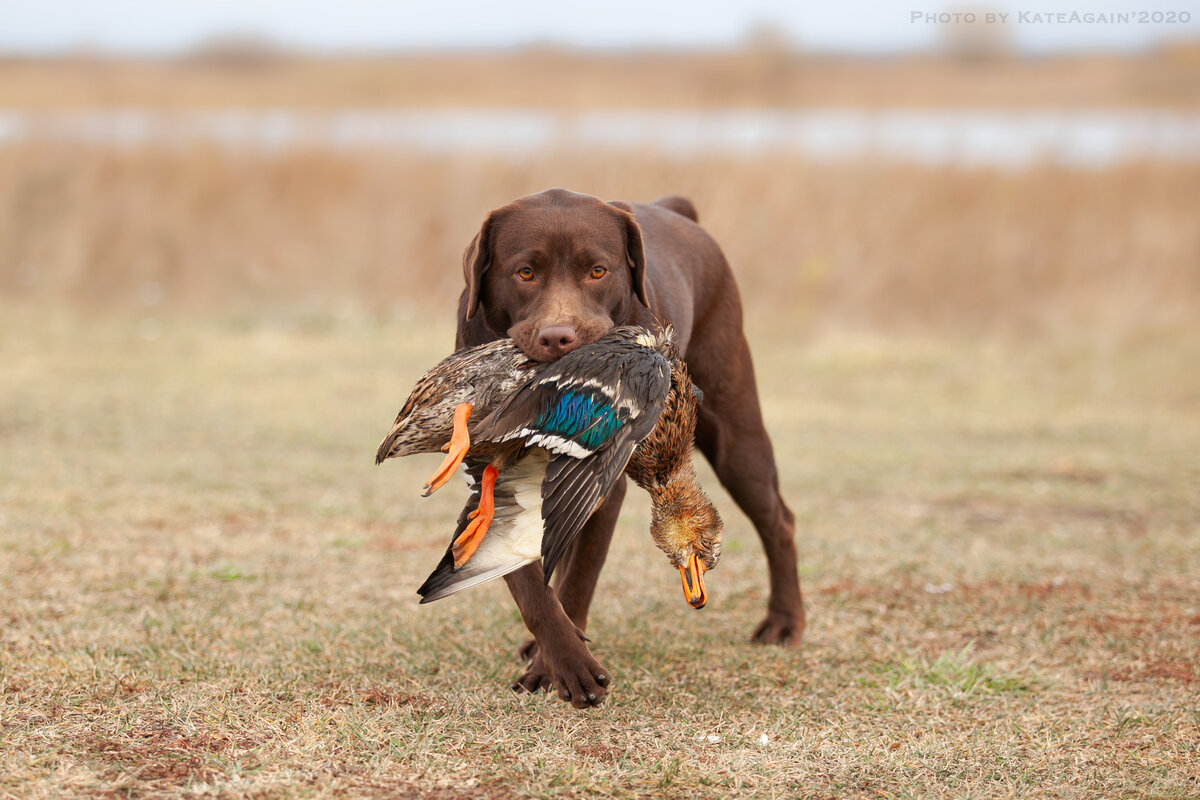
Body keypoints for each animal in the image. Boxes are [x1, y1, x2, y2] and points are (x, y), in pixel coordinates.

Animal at [453, 188, 801, 705]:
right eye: (525, 272)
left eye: (598, 271)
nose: (558, 337)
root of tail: (675, 209)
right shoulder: (491, 483)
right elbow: (531, 587)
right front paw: (563, 658)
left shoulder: (607, 486)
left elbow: (578, 580)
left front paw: (555, 667)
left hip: (736, 433)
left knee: (778, 520)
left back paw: (784, 622)